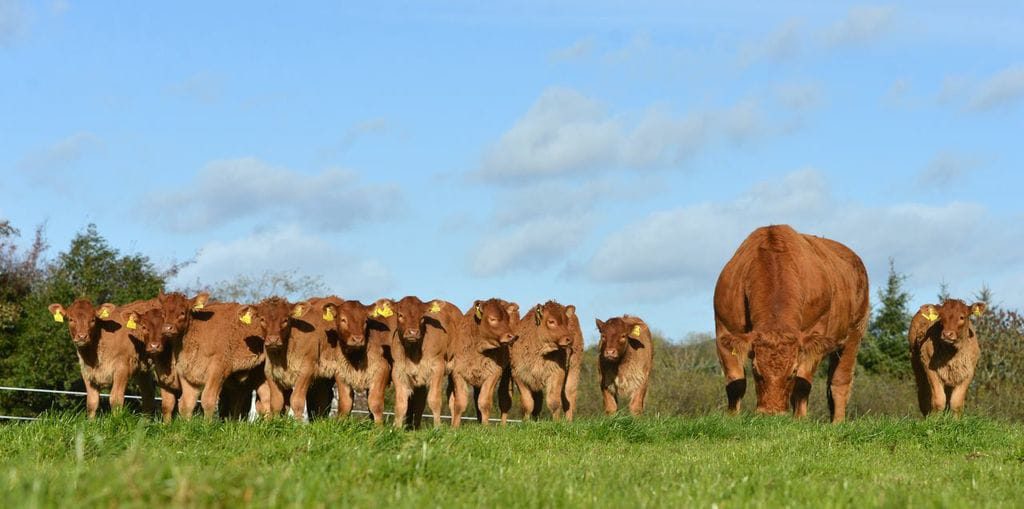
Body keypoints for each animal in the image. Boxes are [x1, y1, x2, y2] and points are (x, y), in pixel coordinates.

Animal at [386, 296, 459, 429]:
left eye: (422, 317)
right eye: (400, 315)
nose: (413, 332)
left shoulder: (437, 368)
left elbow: (434, 400)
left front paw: (437, 427)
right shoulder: (398, 371)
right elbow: (401, 403)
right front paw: (396, 428)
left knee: (454, 399)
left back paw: (454, 426)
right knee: (420, 403)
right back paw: (416, 427)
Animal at [447, 298, 519, 427]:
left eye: (507, 319)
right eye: (493, 319)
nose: (512, 337)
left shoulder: (494, 373)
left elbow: (484, 402)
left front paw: (485, 427)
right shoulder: (457, 373)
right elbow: (459, 403)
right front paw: (454, 426)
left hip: (506, 373)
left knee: (504, 400)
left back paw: (502, 426)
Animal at [713, 224, 869, 422]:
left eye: (792, 372)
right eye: (756, 370)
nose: (771, 414)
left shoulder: (815, 334)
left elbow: (803, 383)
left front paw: (800, 420)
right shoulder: (724, 330)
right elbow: (735, 382)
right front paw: (732, 419)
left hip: (854, 333)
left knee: (840, 381)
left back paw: (837, 423)